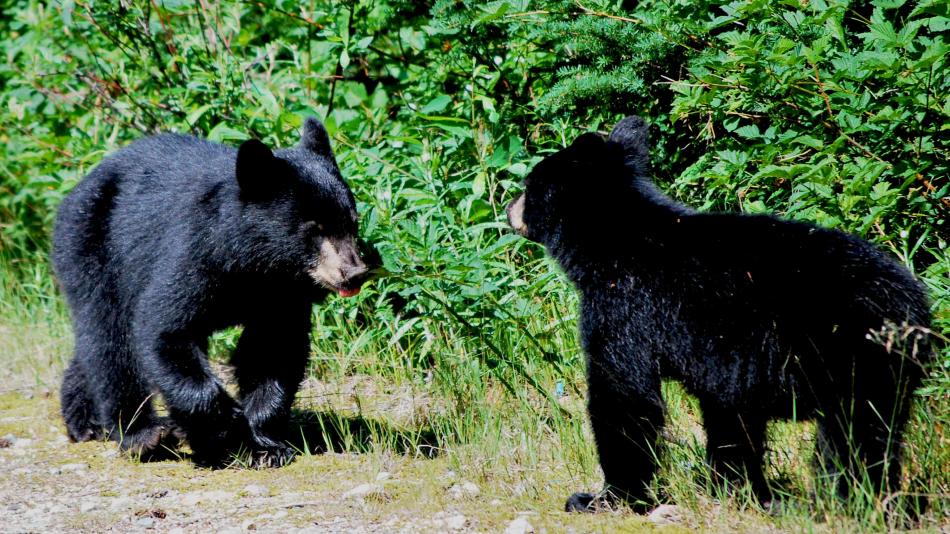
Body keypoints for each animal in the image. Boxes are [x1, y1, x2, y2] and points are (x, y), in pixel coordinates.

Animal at [53, 117, 369, 467]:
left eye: (352, 223)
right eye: (315, 229)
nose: (354, 273)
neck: (254, 264)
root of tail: (80, 184)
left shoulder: (282, 294)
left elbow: (273, 351)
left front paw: (265, 445)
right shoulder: (195, 257)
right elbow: (164, 329)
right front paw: (225, 422)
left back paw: (85, 421)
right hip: (92, 248)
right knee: (108, 338)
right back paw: (142, 435)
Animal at [506, 116, 932, 512]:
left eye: (529, 184)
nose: (510, 208)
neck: (612, 241)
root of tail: (912, 304)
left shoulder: (624, 307)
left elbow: (624, 394)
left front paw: (605, 497)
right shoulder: (728, 363)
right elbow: (729, 416)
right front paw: (735, 487)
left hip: (851, 356)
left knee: (853, 436)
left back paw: (849, 503)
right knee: (879, 432)